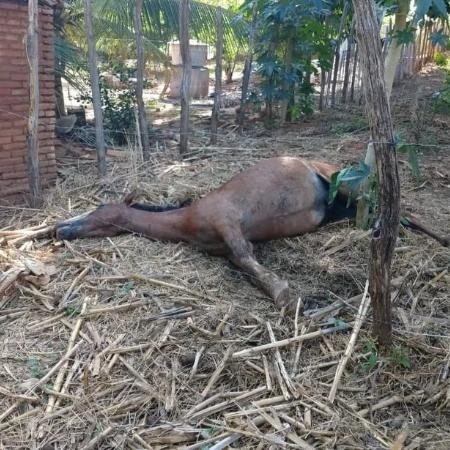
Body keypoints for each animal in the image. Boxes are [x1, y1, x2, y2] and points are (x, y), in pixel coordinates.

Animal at [57, 156, 450, 312]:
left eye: (99, 211)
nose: (62, 229)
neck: (187, 219)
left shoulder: (229, 224)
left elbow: (249, 259)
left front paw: (287, 297)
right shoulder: (227, 246)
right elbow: (242, 263)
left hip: (350, 187)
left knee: (400, 212)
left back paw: (441, 239)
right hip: (346, 209)